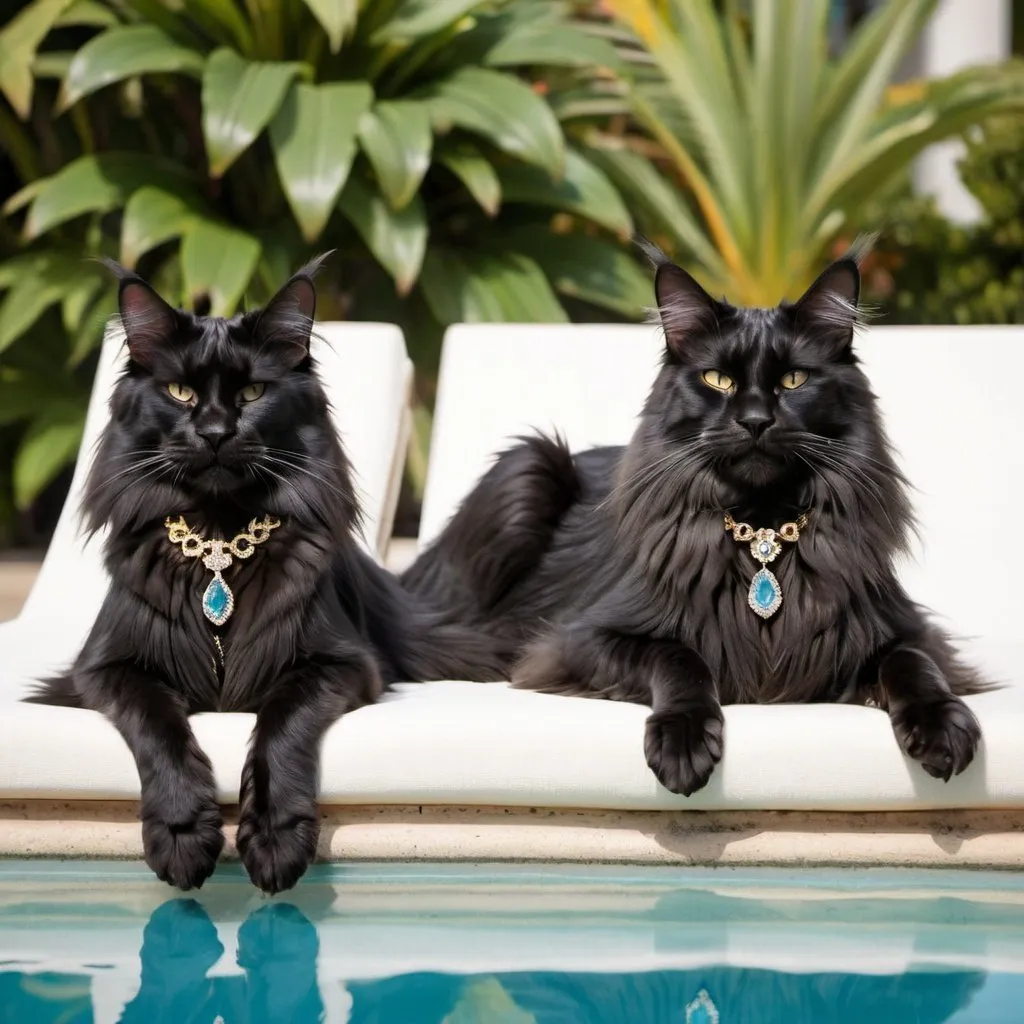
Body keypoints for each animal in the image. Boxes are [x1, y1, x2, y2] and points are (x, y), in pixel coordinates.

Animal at [33, 260, 507, 892]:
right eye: (180, 392)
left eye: (253, 393)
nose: (214, 432)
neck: (217, 540)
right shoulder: (105, 668)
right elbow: (158, 724)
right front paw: (182, 835)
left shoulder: (339, 663)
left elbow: (283, 721)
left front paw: (276, 839)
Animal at [403, 241, 987, 798]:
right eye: (717, 379)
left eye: (794, 379)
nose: (755, 421)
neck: (763, 531)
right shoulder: (579, 638)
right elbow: (680, 656)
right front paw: (683, 741)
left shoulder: (901, 631)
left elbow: (913, 664)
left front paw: (942, 726)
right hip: (527, 467)